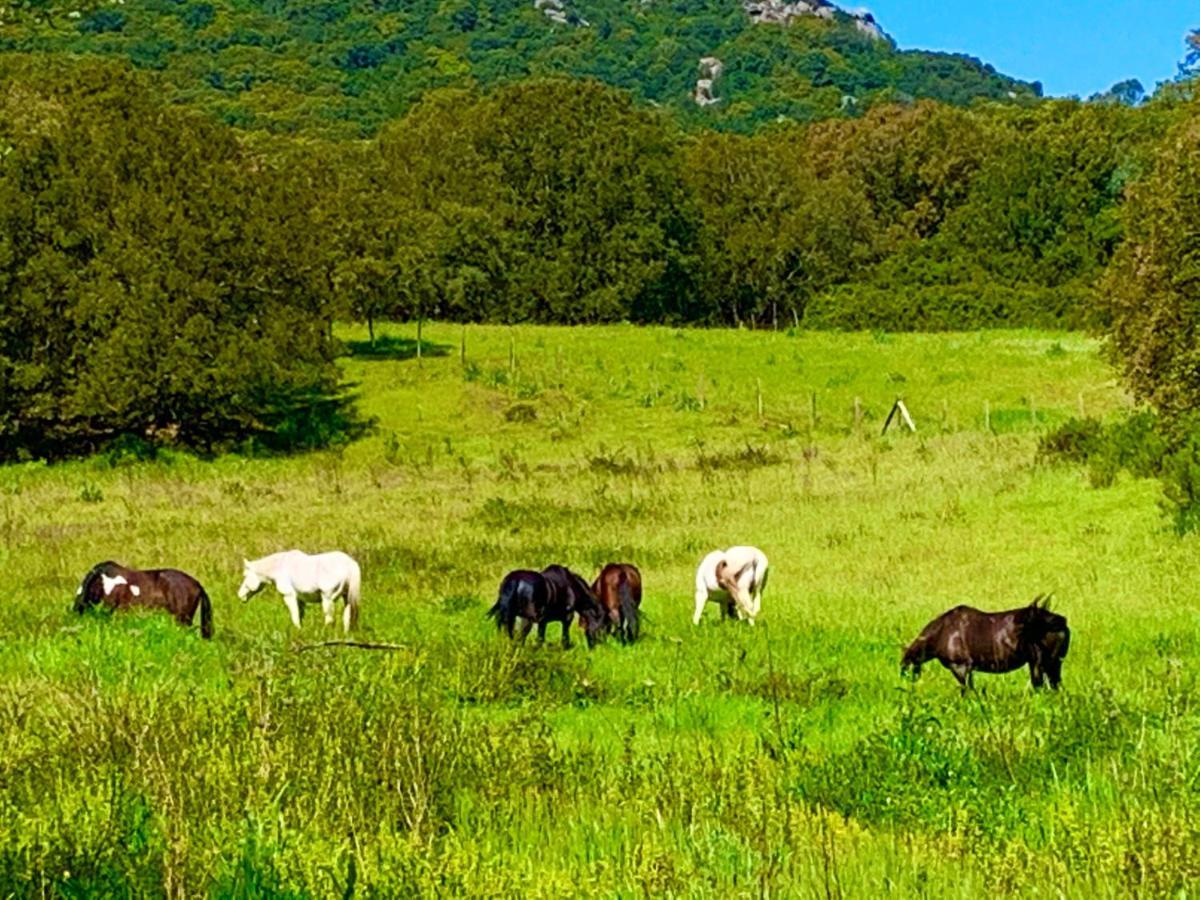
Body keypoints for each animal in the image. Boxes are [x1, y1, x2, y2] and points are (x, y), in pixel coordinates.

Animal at [902, 595, 1070, 696]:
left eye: (906, 670)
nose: (909, 690)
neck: (943, 632)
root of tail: (1060, 622)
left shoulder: (960, 668)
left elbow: (966, 692)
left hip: (1039, 665)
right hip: (1053, 664)